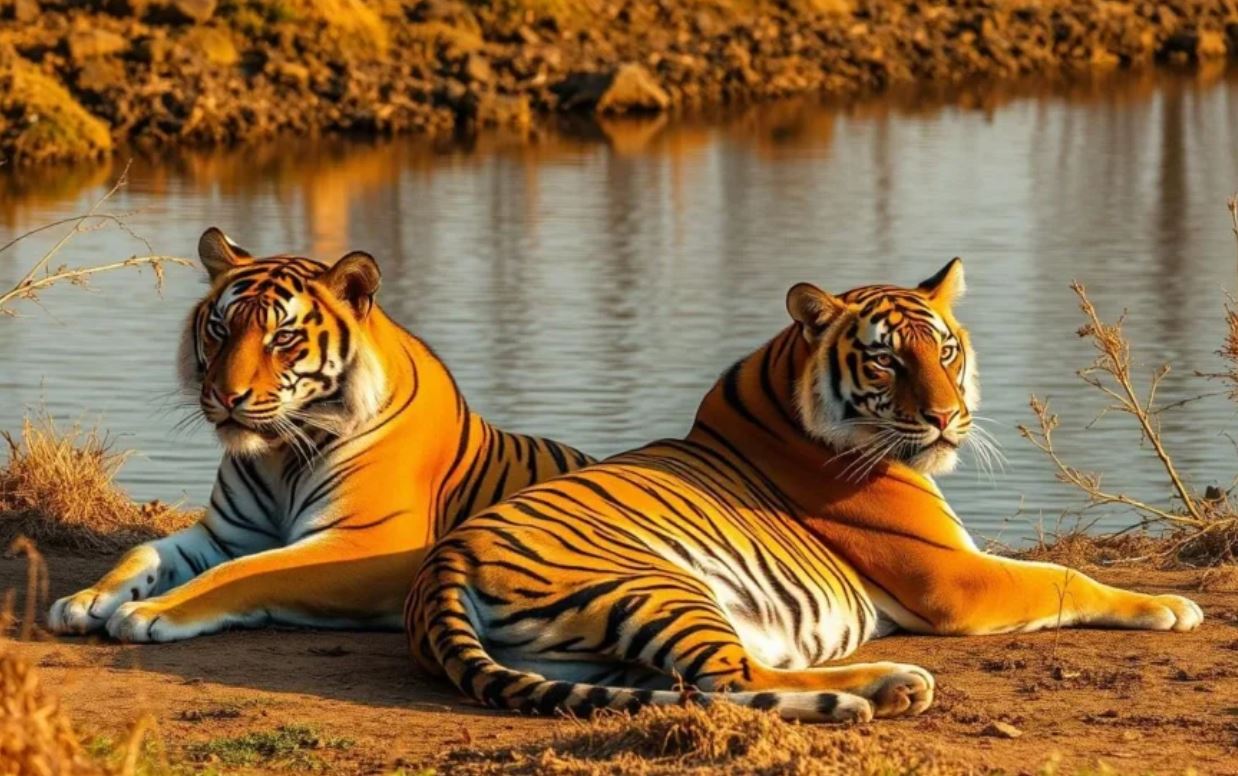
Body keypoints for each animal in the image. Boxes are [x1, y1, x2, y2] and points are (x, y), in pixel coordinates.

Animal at [47, 227, 593, 643]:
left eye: (282, 337)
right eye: (221, 328)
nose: (226, 395)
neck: (279, 455)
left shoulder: (368, 541)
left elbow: (241, 571)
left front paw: (148, 611)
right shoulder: (227, 533)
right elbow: (142, 551)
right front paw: (86, 599)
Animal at [406, 258, 1203, 723]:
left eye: (945, 351)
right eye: (885, 363)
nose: (947, 416)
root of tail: (440, 567)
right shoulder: (955, 578)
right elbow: (1064, 577)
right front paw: (1172, 606)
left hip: (583, 654)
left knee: (695, 685)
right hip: (661, 584)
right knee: (729, 680)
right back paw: (885, 688)